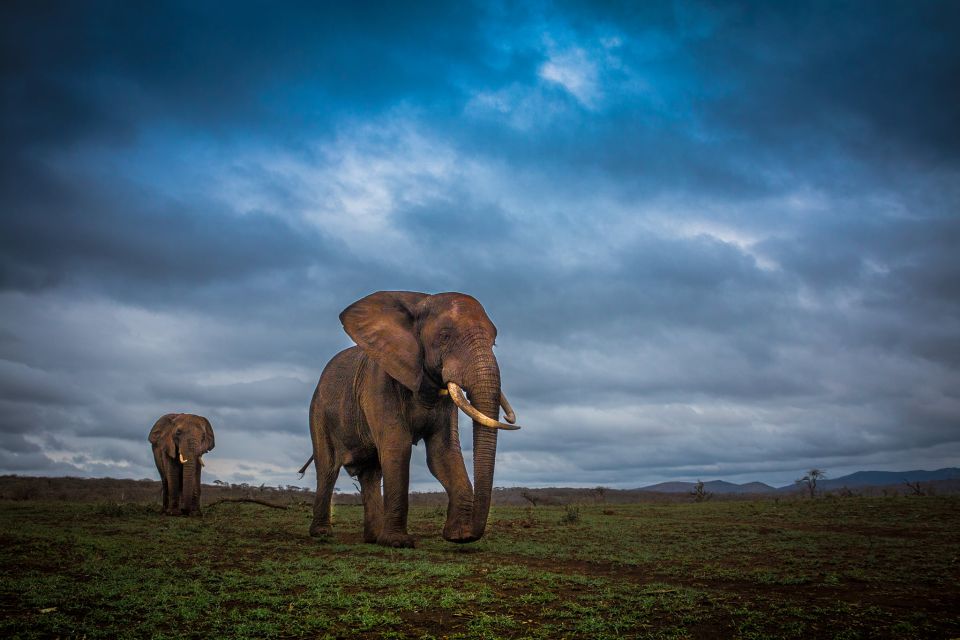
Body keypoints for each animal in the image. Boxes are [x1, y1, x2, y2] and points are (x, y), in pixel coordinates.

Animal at [306, 292, 516, 548]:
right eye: (445, 337)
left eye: (494, 342)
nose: (472, 534)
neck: (420, 302)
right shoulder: (379, 382)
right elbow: (398, 446)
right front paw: (398, 543)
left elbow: (442, 452)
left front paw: (458, 537)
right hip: (318, 412)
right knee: (327, 468)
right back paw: (322, 534)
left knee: (371, 473)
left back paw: (373, 538)